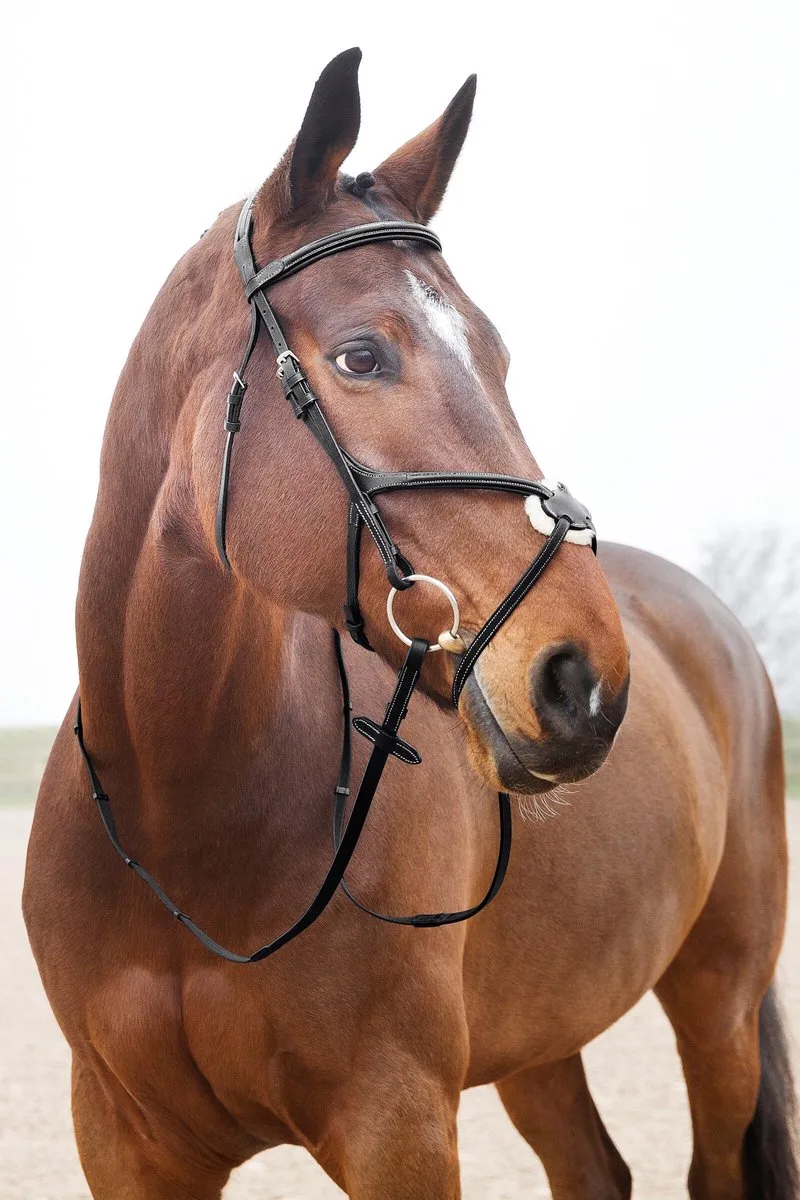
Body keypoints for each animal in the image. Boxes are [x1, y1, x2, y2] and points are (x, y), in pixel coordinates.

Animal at [23, 48, 796, 1200]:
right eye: (360, 357)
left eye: (498, 356)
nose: (584, 680)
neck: (184, 820)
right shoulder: (121, 1141)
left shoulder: (398, 1124)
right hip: (542, 1032)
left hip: (720, 1004)